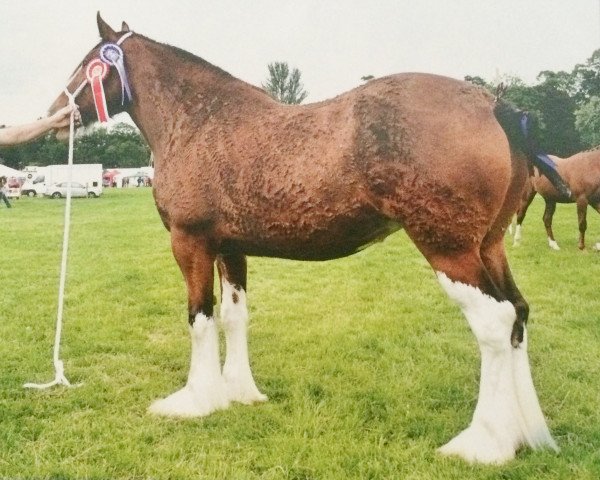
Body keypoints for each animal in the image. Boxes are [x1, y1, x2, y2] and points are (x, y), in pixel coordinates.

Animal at [47, 15, 564, 464]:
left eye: (89, 62)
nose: (54, 115)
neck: (198, 121)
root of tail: (492, 105)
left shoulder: (190, 243)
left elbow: (200, 317)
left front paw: (195, 401)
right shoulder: (231, 248)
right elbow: (234, 317)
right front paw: (239, 392)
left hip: (448, 249)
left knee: (495, 322)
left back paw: (483, 444)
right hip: (489, 247)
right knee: (519, 313)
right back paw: (524, 435)